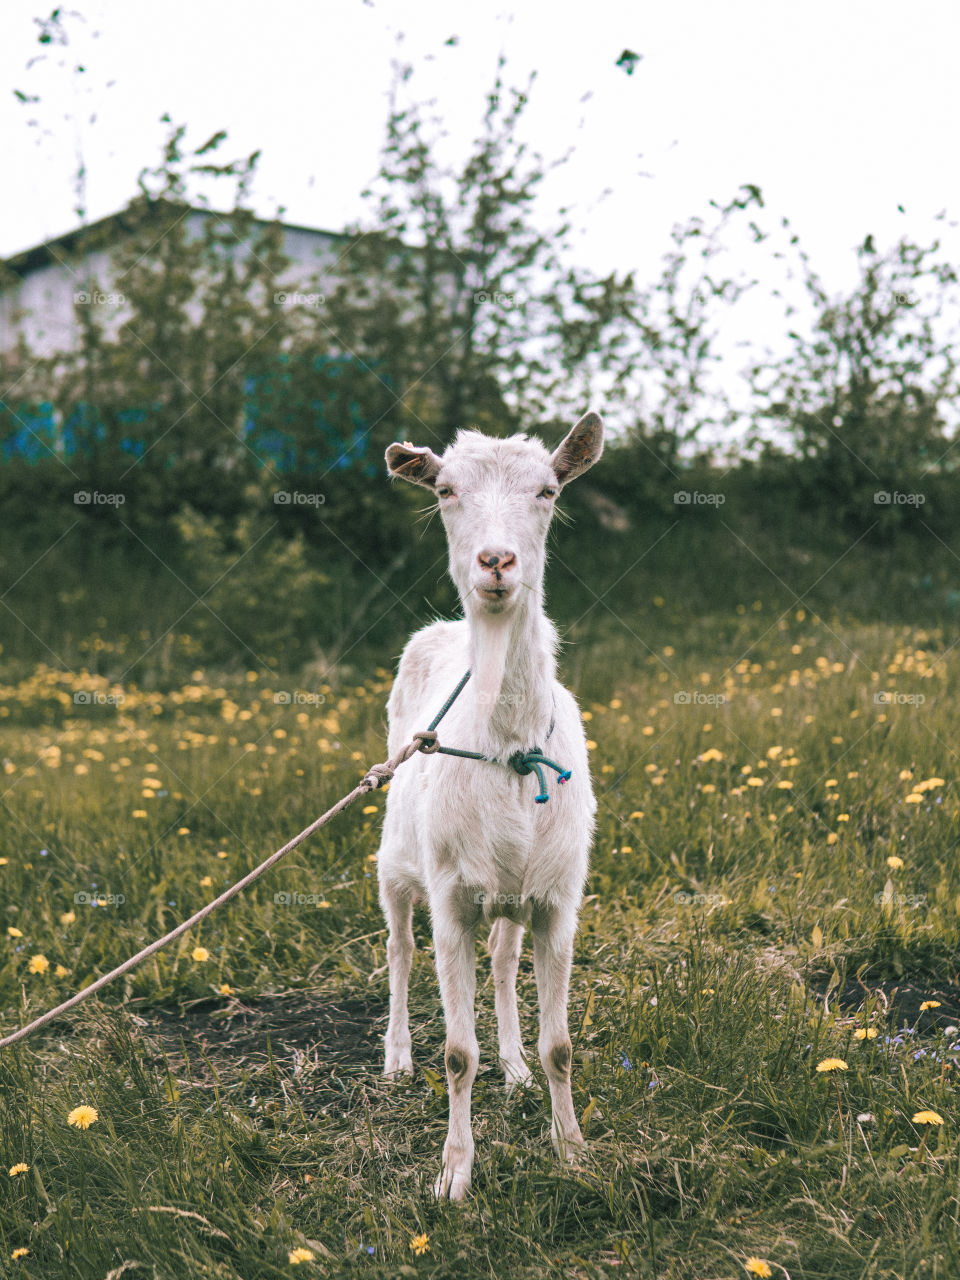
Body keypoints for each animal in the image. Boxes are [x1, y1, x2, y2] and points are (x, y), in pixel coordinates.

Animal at [377, 411, 603, 1199]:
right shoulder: (450, 901)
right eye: (445, 490)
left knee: (504, 962)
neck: (511, 751)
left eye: (547, 490)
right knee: (399, 948)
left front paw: (573, 1151)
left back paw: (514, 1066)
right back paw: (395, 1058)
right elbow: (455, 1052)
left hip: (510, 894)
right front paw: (454, 1175)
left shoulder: (559, 900)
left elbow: (562, 1045)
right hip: (393, 864)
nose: (496, 561)